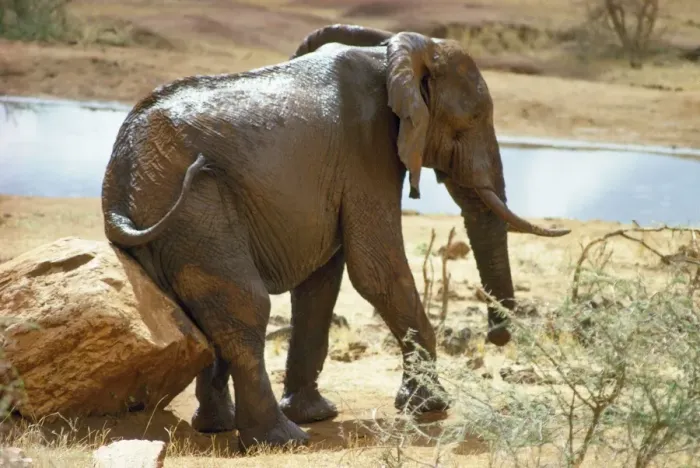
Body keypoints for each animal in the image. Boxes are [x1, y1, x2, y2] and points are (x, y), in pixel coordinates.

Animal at [101, 23, 571, 450]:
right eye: (471, 120)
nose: (496, 337)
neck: (394, 51)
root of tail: (118, 179)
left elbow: (322, 281)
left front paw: (319, 413)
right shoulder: (368, 148)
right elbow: (375, 269)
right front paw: (431, 407)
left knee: (202, 318)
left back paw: (219, 426)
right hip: (197, 207)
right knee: (245, 304)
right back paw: (282, 440)